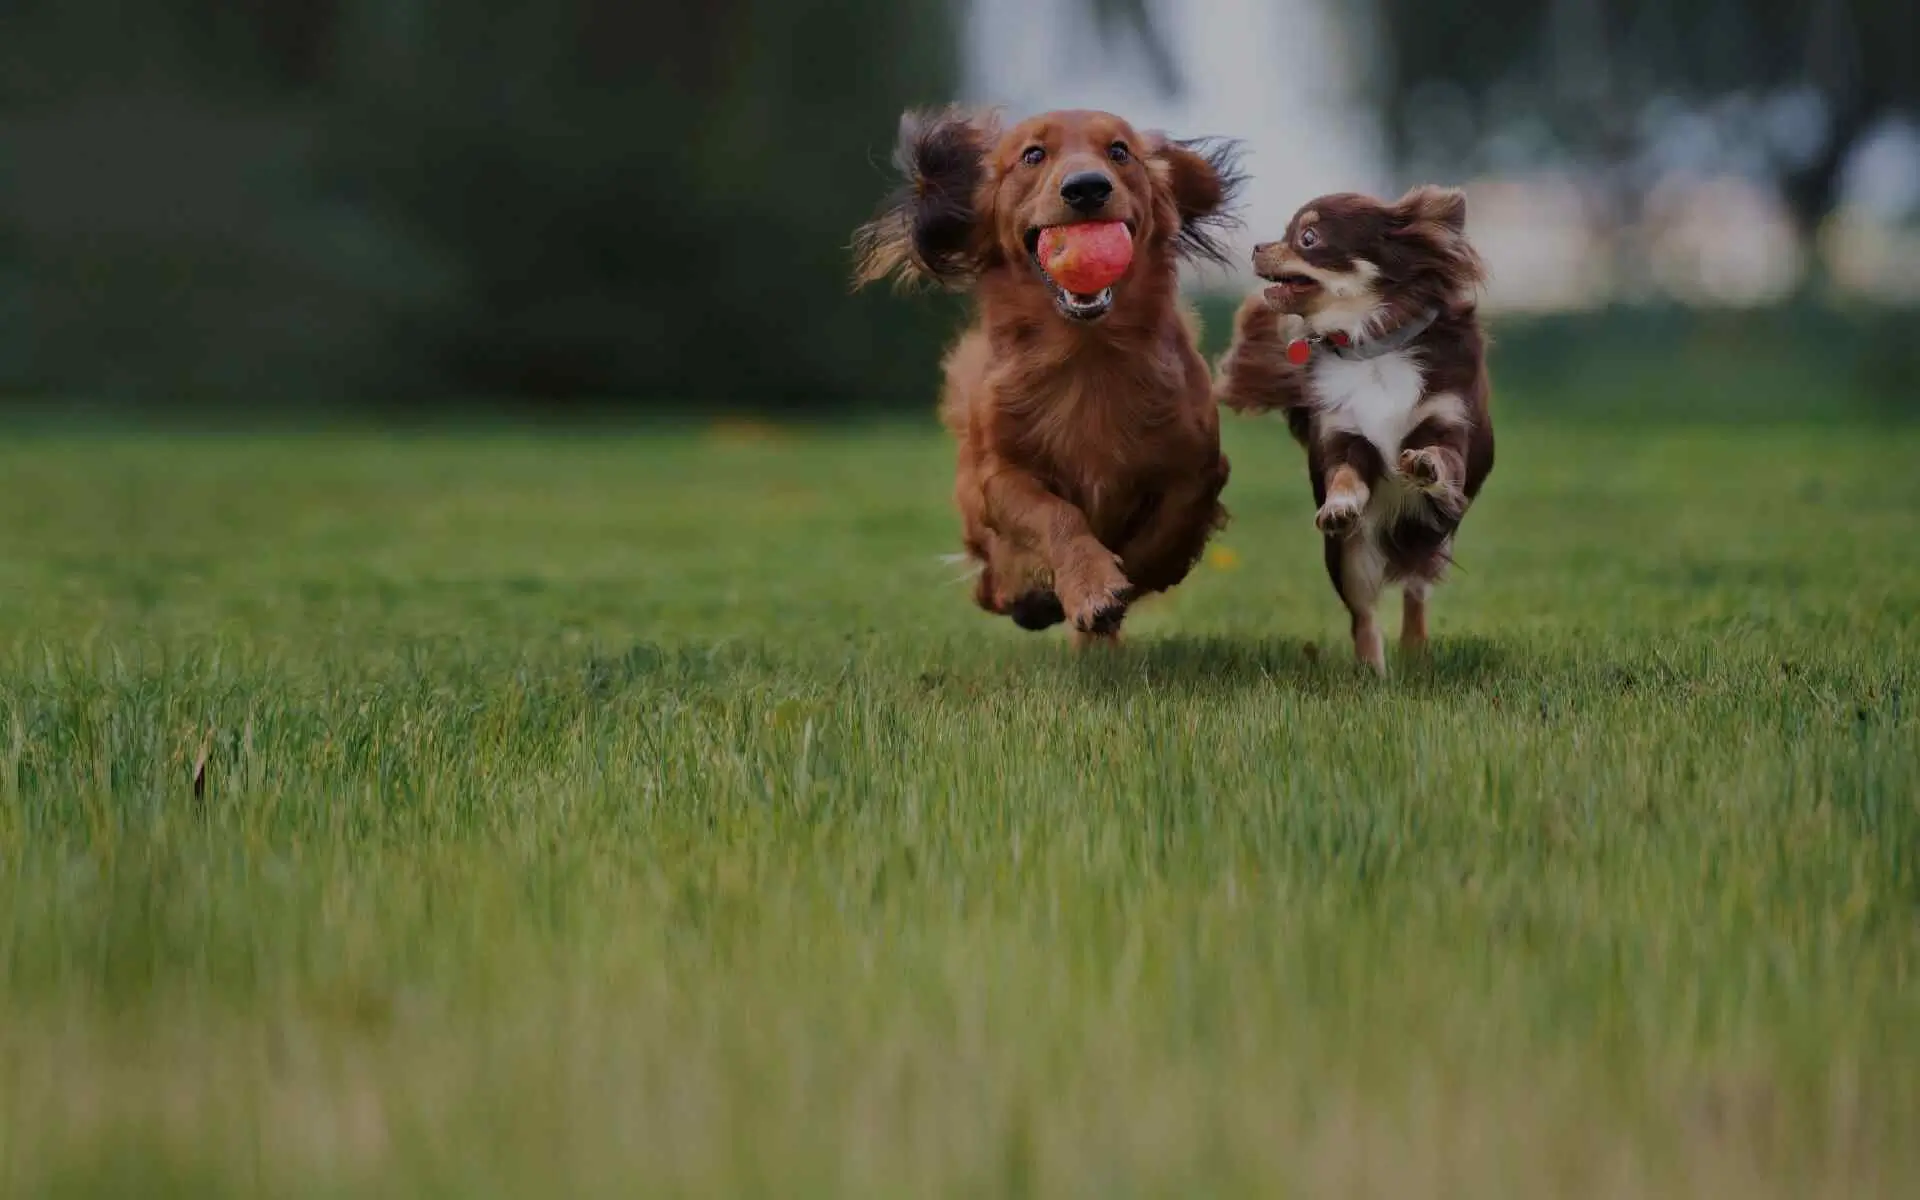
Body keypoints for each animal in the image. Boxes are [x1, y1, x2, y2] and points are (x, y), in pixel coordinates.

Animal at [856, 107, 1244, 641]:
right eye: (1033, 155)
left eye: (1119, 150)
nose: (1086, 188)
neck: (1086, 357)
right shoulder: (999, 476)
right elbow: (1056, 515)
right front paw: (1090, 586)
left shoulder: (1197, 465)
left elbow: (1168, 529)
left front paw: (1123, 580)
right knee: (991, 583)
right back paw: (1029, 597)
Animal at [1221, 188, 1489, 675]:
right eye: (1287, 232)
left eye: (1307, 238)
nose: (1256, 247)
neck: (1371, 348)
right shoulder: (1344, 438)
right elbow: (1344, 477)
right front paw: (1340, 505)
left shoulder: (1448, 425)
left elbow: (1443, 458)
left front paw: (1424, 464)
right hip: (1350, 556)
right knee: (1364, 615)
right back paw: (1372, 674)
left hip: (1429, 537)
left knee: (1415, 591)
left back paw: (1415, 652)